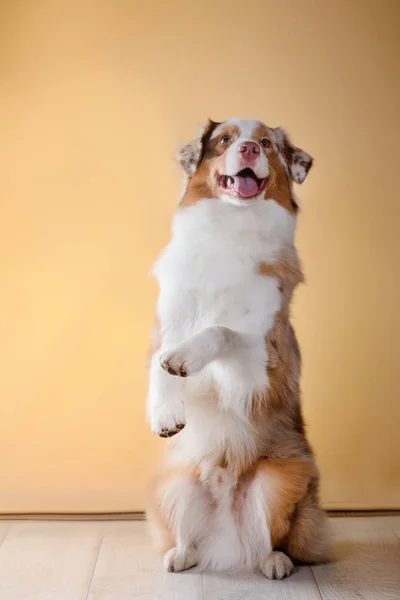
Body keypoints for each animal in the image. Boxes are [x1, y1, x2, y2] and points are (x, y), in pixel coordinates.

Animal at [145, 118, 330, 580]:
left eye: (265, 142)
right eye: (224, 139)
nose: (249, 148)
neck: (229, 229)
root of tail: (228, 543)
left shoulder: (264, 371)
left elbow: (222, 329)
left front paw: (185, 358)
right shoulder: (165, 320)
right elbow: (157, 363)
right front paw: (165, 412)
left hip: (279, 481)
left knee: (275, 536)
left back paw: (274, 561)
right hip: (170, 483)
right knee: (188, 534)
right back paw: (182, 553)